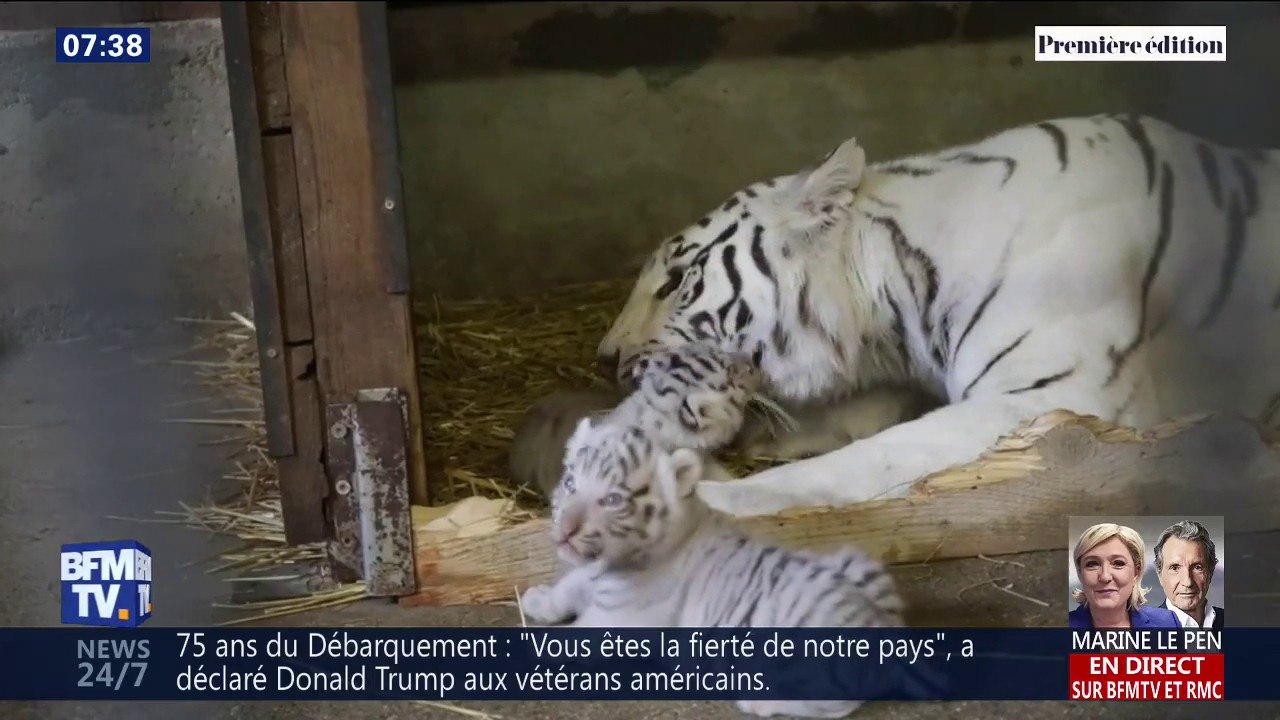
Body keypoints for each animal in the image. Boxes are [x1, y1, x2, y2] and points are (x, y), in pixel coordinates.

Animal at [520, 417, 906, 718]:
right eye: (570, 482)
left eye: (613, 500)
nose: (566, 530)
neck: (613, 562)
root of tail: (878, 625)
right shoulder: (590, 580)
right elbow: (566, 589)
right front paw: (536, 600)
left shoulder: (617, 619)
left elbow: (571, 636)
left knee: (837, 703)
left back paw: (760, 703)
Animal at [594, 112, 1280, 518]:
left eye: (676, 281)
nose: (603, 361)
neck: (894, 308)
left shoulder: (1054, 398)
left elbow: (876, 456)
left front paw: (711, 494)